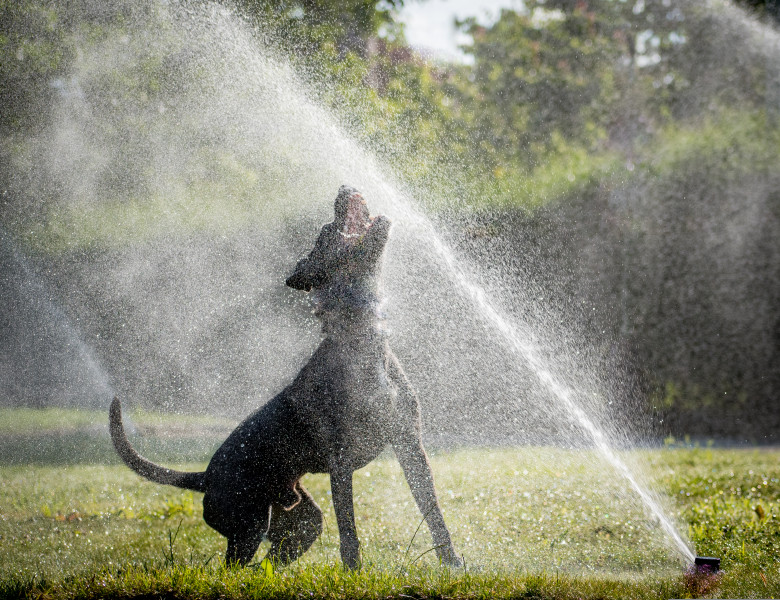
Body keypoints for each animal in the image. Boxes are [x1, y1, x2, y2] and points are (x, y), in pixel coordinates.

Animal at [111, 185, 464, 568]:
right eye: (326, 231)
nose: (343, 187)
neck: (362, 339)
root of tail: (205, 476)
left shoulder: (410, 444)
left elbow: (433, 511)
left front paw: (452, 563)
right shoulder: (341, 460)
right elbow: (349, 529)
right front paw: (354, 572)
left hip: (301, 523)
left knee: (272, 559)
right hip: (248, 523)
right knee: (233, 567)